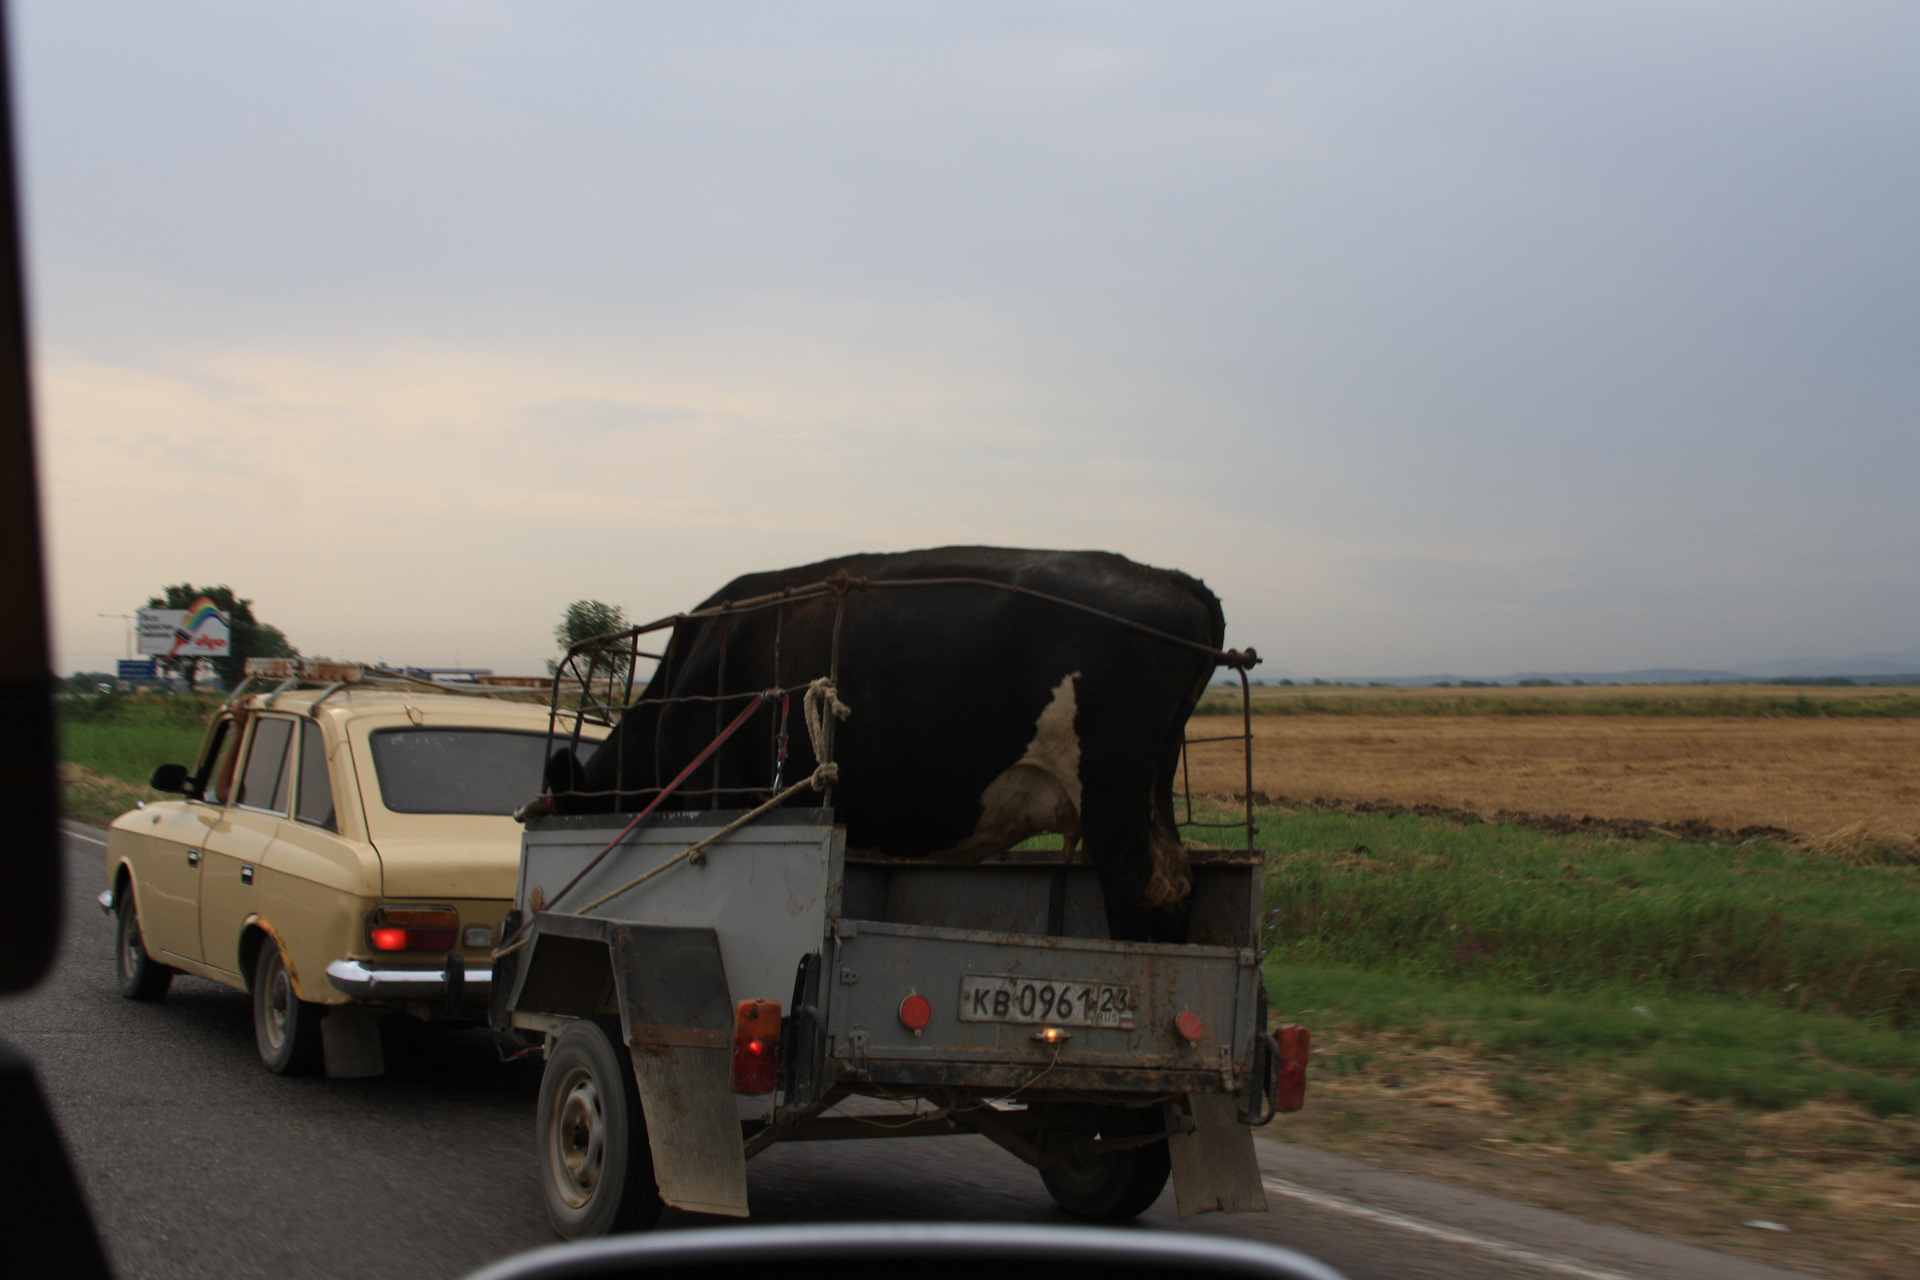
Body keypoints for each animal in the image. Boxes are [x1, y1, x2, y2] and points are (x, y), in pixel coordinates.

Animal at [549, 545, 1221, 948]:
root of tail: (1172, 579)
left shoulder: (720, 788)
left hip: (1110, 798)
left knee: (1136, 898)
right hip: (1150, 793)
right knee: (1175, 885)